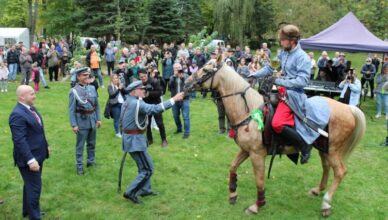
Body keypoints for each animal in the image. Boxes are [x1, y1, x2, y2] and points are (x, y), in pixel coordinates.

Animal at [185, 56, 366, 217]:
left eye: (206, 70)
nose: (186, 83)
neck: (249, 110)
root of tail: (348, 108)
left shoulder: (257, 155)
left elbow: (259, 180)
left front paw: (257, 206)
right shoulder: (245, 150)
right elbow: (233, 167)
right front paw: (233, 194)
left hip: (333, 150)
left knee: (340, 172)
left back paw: (326, 203)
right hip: (324, 148)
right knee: (326, 167)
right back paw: (318, 190)